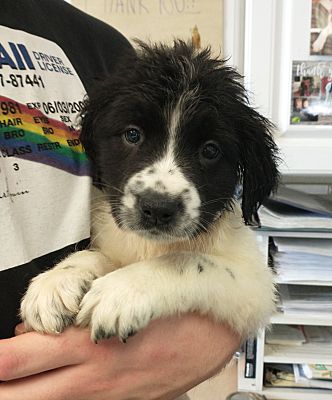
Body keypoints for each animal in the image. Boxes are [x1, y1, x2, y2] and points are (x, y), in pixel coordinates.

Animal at [20, 41, 278, 344]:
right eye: (132, 134)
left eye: (210, 150)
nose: (157, 208)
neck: (150, 245)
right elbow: (98, 255)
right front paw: (57, 279)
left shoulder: (256, 286)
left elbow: (185, 259)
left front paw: (121, 290)